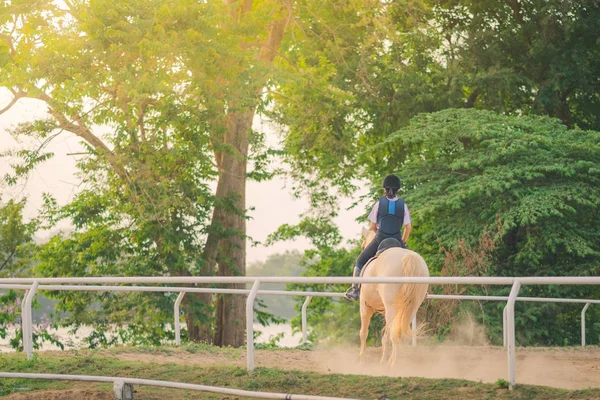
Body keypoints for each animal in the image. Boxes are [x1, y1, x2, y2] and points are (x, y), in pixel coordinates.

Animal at [358, 228, 428, 366]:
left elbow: (363, 333)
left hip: (392, 308)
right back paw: (391, 361)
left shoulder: (365, 306)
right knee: (397, 332)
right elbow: (385, 336)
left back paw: (393, 363)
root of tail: (408, 257)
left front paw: (362, 359)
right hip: (411, 307)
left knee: (394, 334)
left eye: (363, 246)